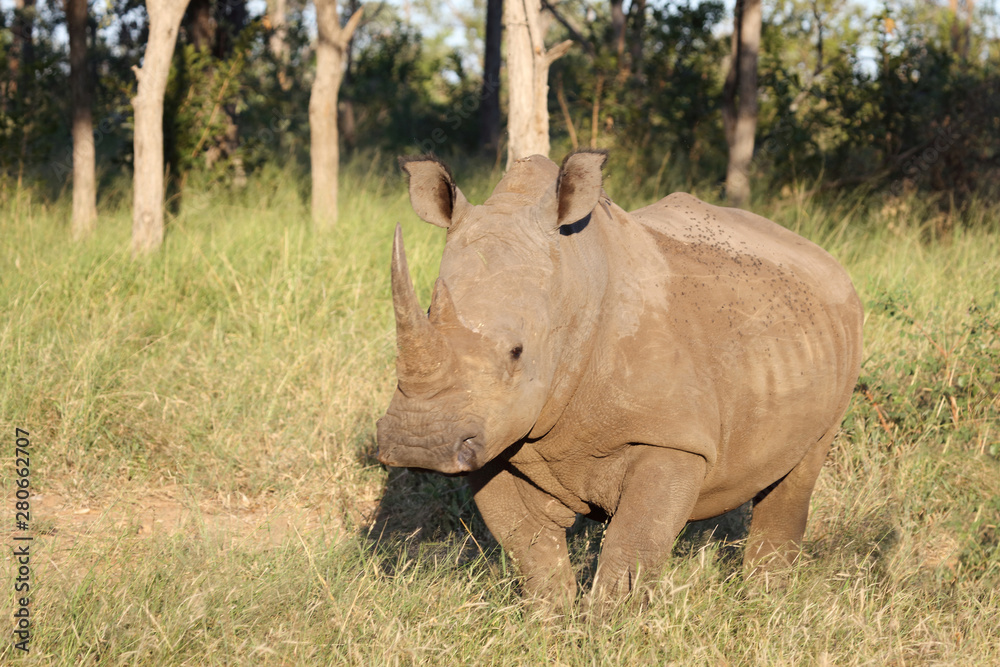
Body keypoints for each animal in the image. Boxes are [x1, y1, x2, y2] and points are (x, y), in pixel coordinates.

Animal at [376, 151, 863, 608]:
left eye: (517, 353)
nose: (418, 443)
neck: (575, 286)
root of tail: (824, 258)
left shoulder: (671, 438)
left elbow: (633, 546)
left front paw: (608, 629)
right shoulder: (493, 435)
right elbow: (529, 548)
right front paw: (549, 625)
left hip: (841, 327)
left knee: (798, 473)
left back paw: (764, 601)